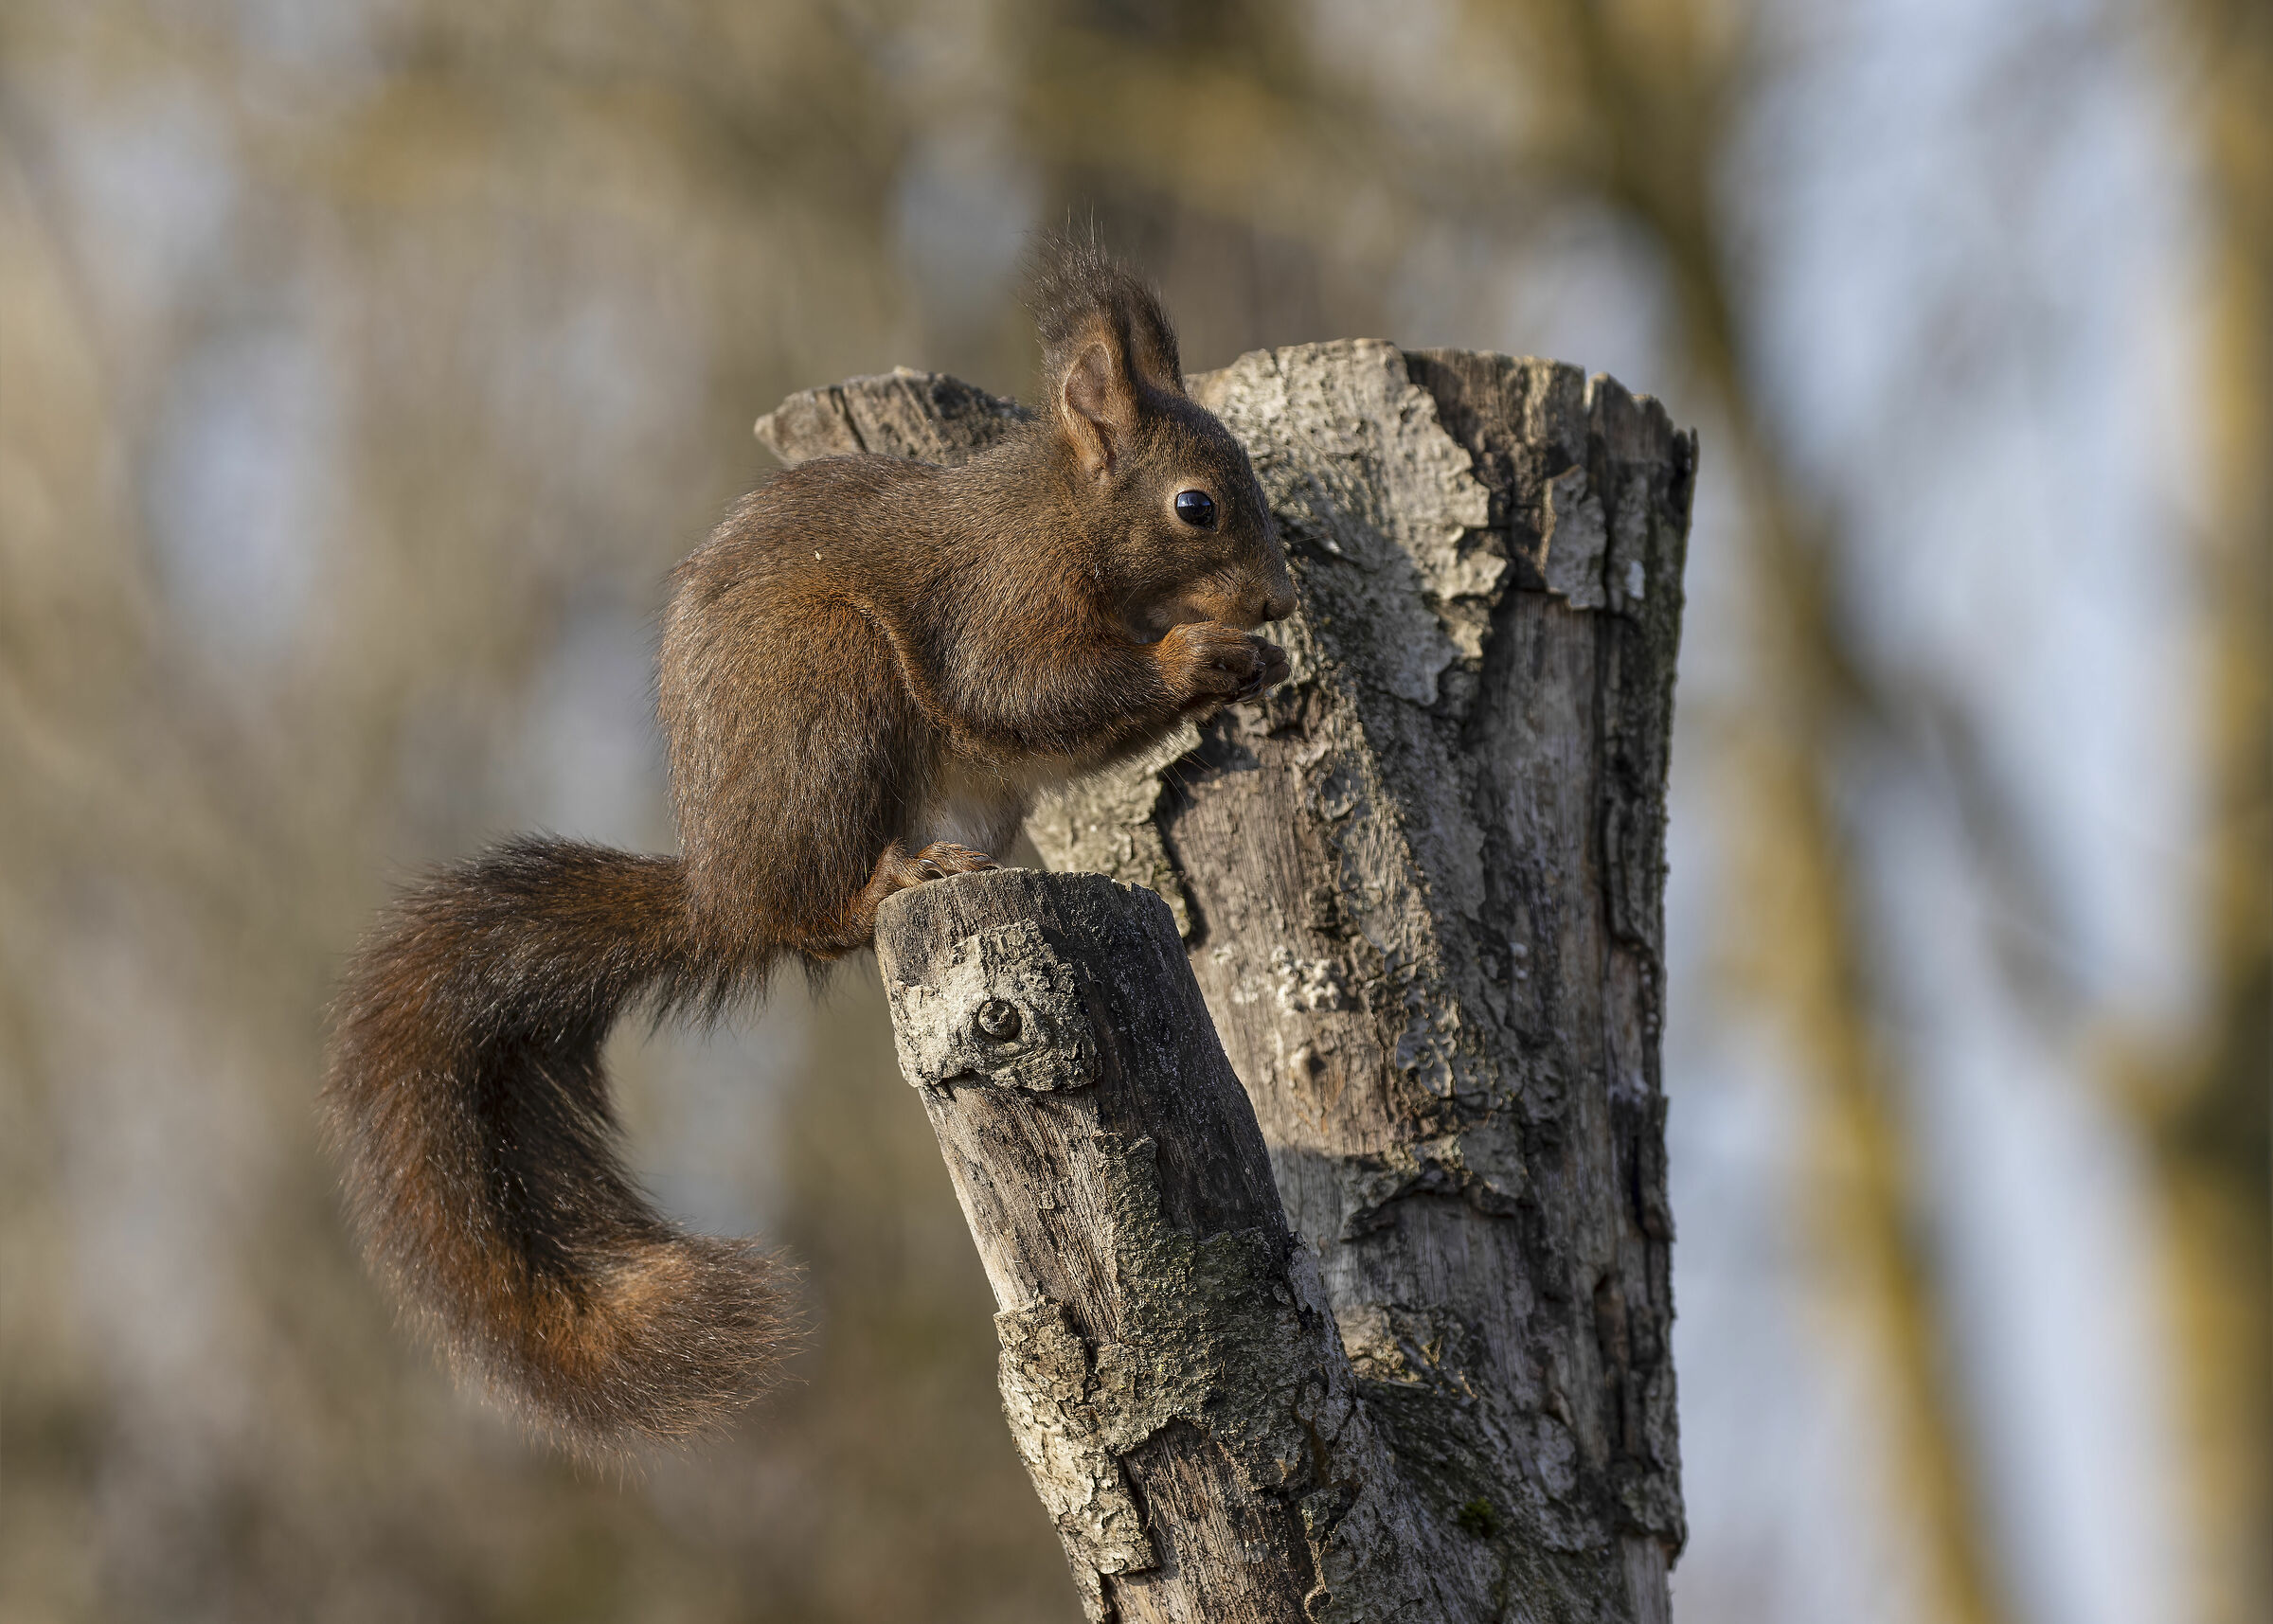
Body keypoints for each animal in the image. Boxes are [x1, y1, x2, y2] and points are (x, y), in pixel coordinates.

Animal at [320, 242, 1296, 1455]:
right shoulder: (1000, 599)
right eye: (1195, 506)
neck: (1060, 514)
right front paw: (1196, 654)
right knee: (820, 914)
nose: (1280, 601)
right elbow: (1022, 688)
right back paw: (900, 877)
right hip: (828, 687)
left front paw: (1249, 661)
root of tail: (724, 893)